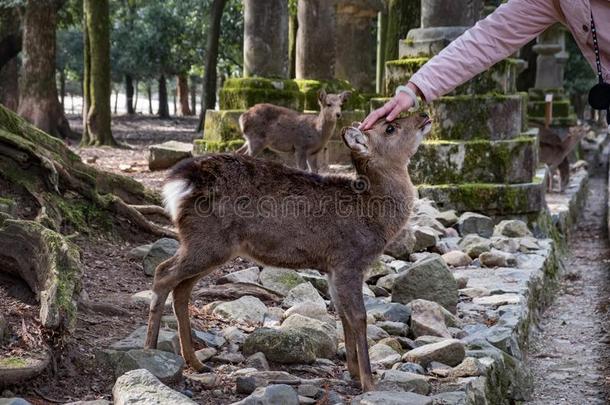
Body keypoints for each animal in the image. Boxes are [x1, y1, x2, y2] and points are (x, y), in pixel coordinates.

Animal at [145, 112, 430, 390]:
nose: (424, 115)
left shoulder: (333, 268)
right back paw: (150, 350)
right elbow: (359, 317)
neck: (374, 215)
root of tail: (179, 183)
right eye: (390, 127)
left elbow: (343, 314)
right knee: (162, 272)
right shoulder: (349, 261)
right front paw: (370, 383)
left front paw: (353, 372)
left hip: (209, 246)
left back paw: (195, 362)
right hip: (207, 241)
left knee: (181, 288)